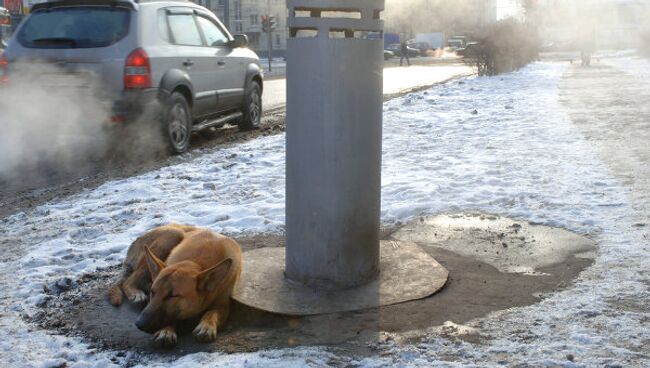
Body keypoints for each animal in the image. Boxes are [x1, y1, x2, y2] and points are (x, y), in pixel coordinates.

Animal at [107, 223, 242, 346]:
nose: (139, 324)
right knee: (128, 281)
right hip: (173, 235)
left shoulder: (223, 306)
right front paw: (166, 331)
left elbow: (211, 313)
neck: (197, 262)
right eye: (153, 292)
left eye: (172, 296)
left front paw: (206, 326)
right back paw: (136, 293)